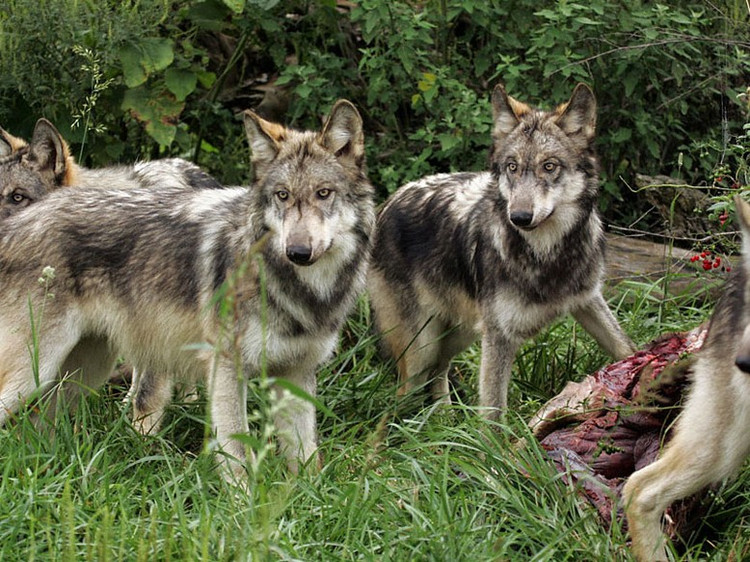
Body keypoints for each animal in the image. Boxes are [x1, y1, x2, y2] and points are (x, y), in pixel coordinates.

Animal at [0, 99, 374, 476]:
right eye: (282, 196)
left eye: (323, 194)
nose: (297, 252)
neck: (306, 291)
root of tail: (18, 227)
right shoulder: (224, 367)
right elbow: (236, 452)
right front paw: (239, 494)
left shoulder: (296, 374)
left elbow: (306, 457)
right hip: (36, 374)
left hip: (84, 372)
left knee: (37, 427)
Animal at [368, 82, 636, 416]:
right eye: (512, 167)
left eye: (549, 166)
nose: (519, 217)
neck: (547, 256)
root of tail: (388, 202)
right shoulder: (499, 335)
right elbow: (493, 412)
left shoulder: (587, 300)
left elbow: (625, 347)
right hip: (423, 346)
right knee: (406, 391)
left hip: (462, 332)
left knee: (439, 371)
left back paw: (444, 418)